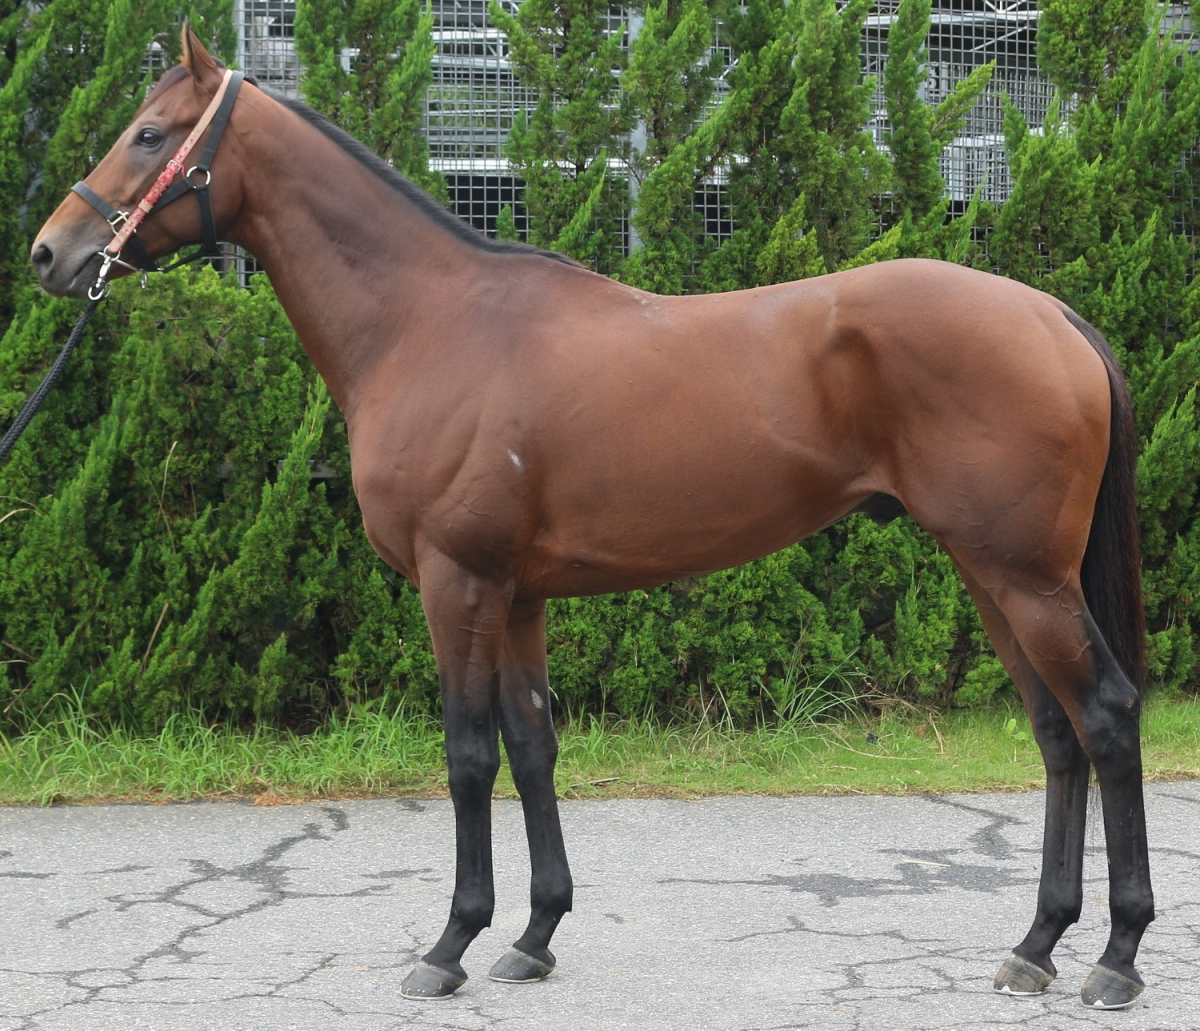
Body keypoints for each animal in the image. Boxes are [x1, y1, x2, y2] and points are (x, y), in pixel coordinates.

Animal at [31, 25, 1152, 1009]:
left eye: (148, 132)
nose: (51, 252)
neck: (430, 322)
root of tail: (1051, 314)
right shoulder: (518, 594)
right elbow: (532, 745)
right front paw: (532, 935)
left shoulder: (458, 582)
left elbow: (468, 753)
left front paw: (449, 944)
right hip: (991, 573)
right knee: (1057, 734)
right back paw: (1036, 944)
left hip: (1024, 576)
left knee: (1104, 714)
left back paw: (1115, 957)